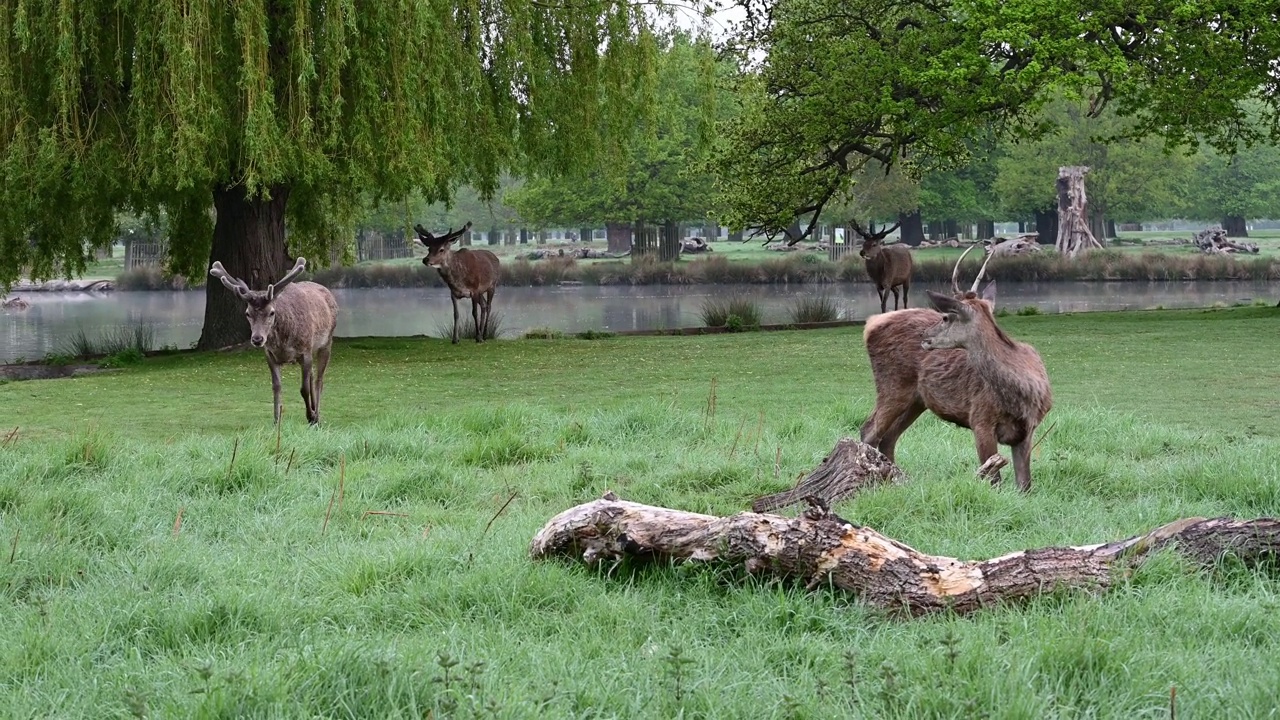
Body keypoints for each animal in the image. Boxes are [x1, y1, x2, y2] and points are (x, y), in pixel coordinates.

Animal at [206, 256, 335, 422]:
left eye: (271, 312)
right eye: (247, 313)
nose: (257, 339)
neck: (283, 344)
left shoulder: (305, 350)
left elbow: (304, 388)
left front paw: (311, 415)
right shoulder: (270, 354)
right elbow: (276, 386)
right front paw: (276, 420)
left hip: (326, 342)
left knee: (319, 379)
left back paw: (317, 415)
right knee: (312, 376)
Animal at [860, 244, 1049, 486]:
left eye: (946, 317)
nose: (925, 336)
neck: (1023, 394)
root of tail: (870, 324)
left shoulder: (1027, 431)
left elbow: (1024, 485)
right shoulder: (980, 419)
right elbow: (993, 480)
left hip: (916, 400)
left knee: (888, 437)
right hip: (892, 386)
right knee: (869, 431)